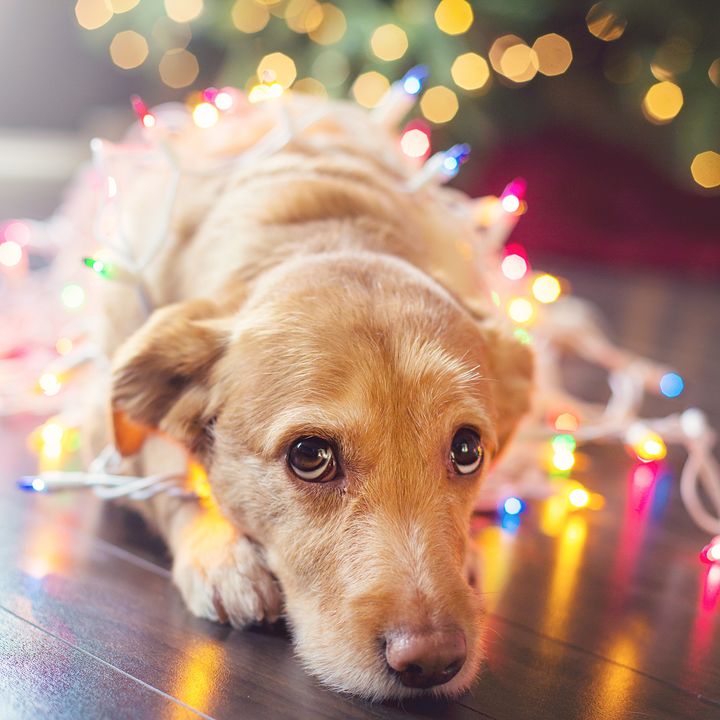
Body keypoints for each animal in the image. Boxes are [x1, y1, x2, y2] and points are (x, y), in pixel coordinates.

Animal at [93, 93, 532, 700]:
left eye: (467, 450)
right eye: (309, 456)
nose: (433, 661)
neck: (318, 219)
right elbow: (166, 467)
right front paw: (223, 557)